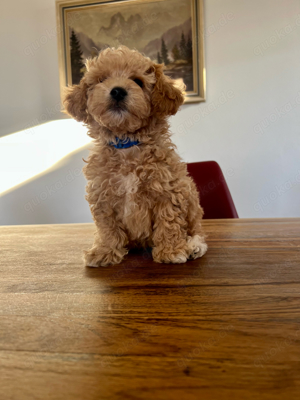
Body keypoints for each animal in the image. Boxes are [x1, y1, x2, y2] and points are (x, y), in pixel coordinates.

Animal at [64, 45, 207, 268]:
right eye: (102, 79)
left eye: (138, 81)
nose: (117, 90)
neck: (126, 143)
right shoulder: (102, 195)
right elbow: (108, 227)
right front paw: (105, 251)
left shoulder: (168, 189)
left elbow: (169, 220)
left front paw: (171, 251)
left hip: (191, 200)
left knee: (197, 232)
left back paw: (193, 246)